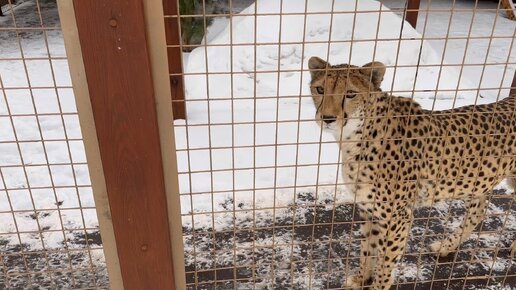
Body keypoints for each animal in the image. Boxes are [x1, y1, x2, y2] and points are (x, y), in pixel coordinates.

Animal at [308, 55, 512, 288]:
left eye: (351, 93)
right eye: (320, 89)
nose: (327, 118)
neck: (355, 137)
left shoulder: (398, 217)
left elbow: (385, 261)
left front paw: (378, 284)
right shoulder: (369, 210)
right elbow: (367, 249)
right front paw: (362, 278)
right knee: (479, 211)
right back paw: (446, 246)